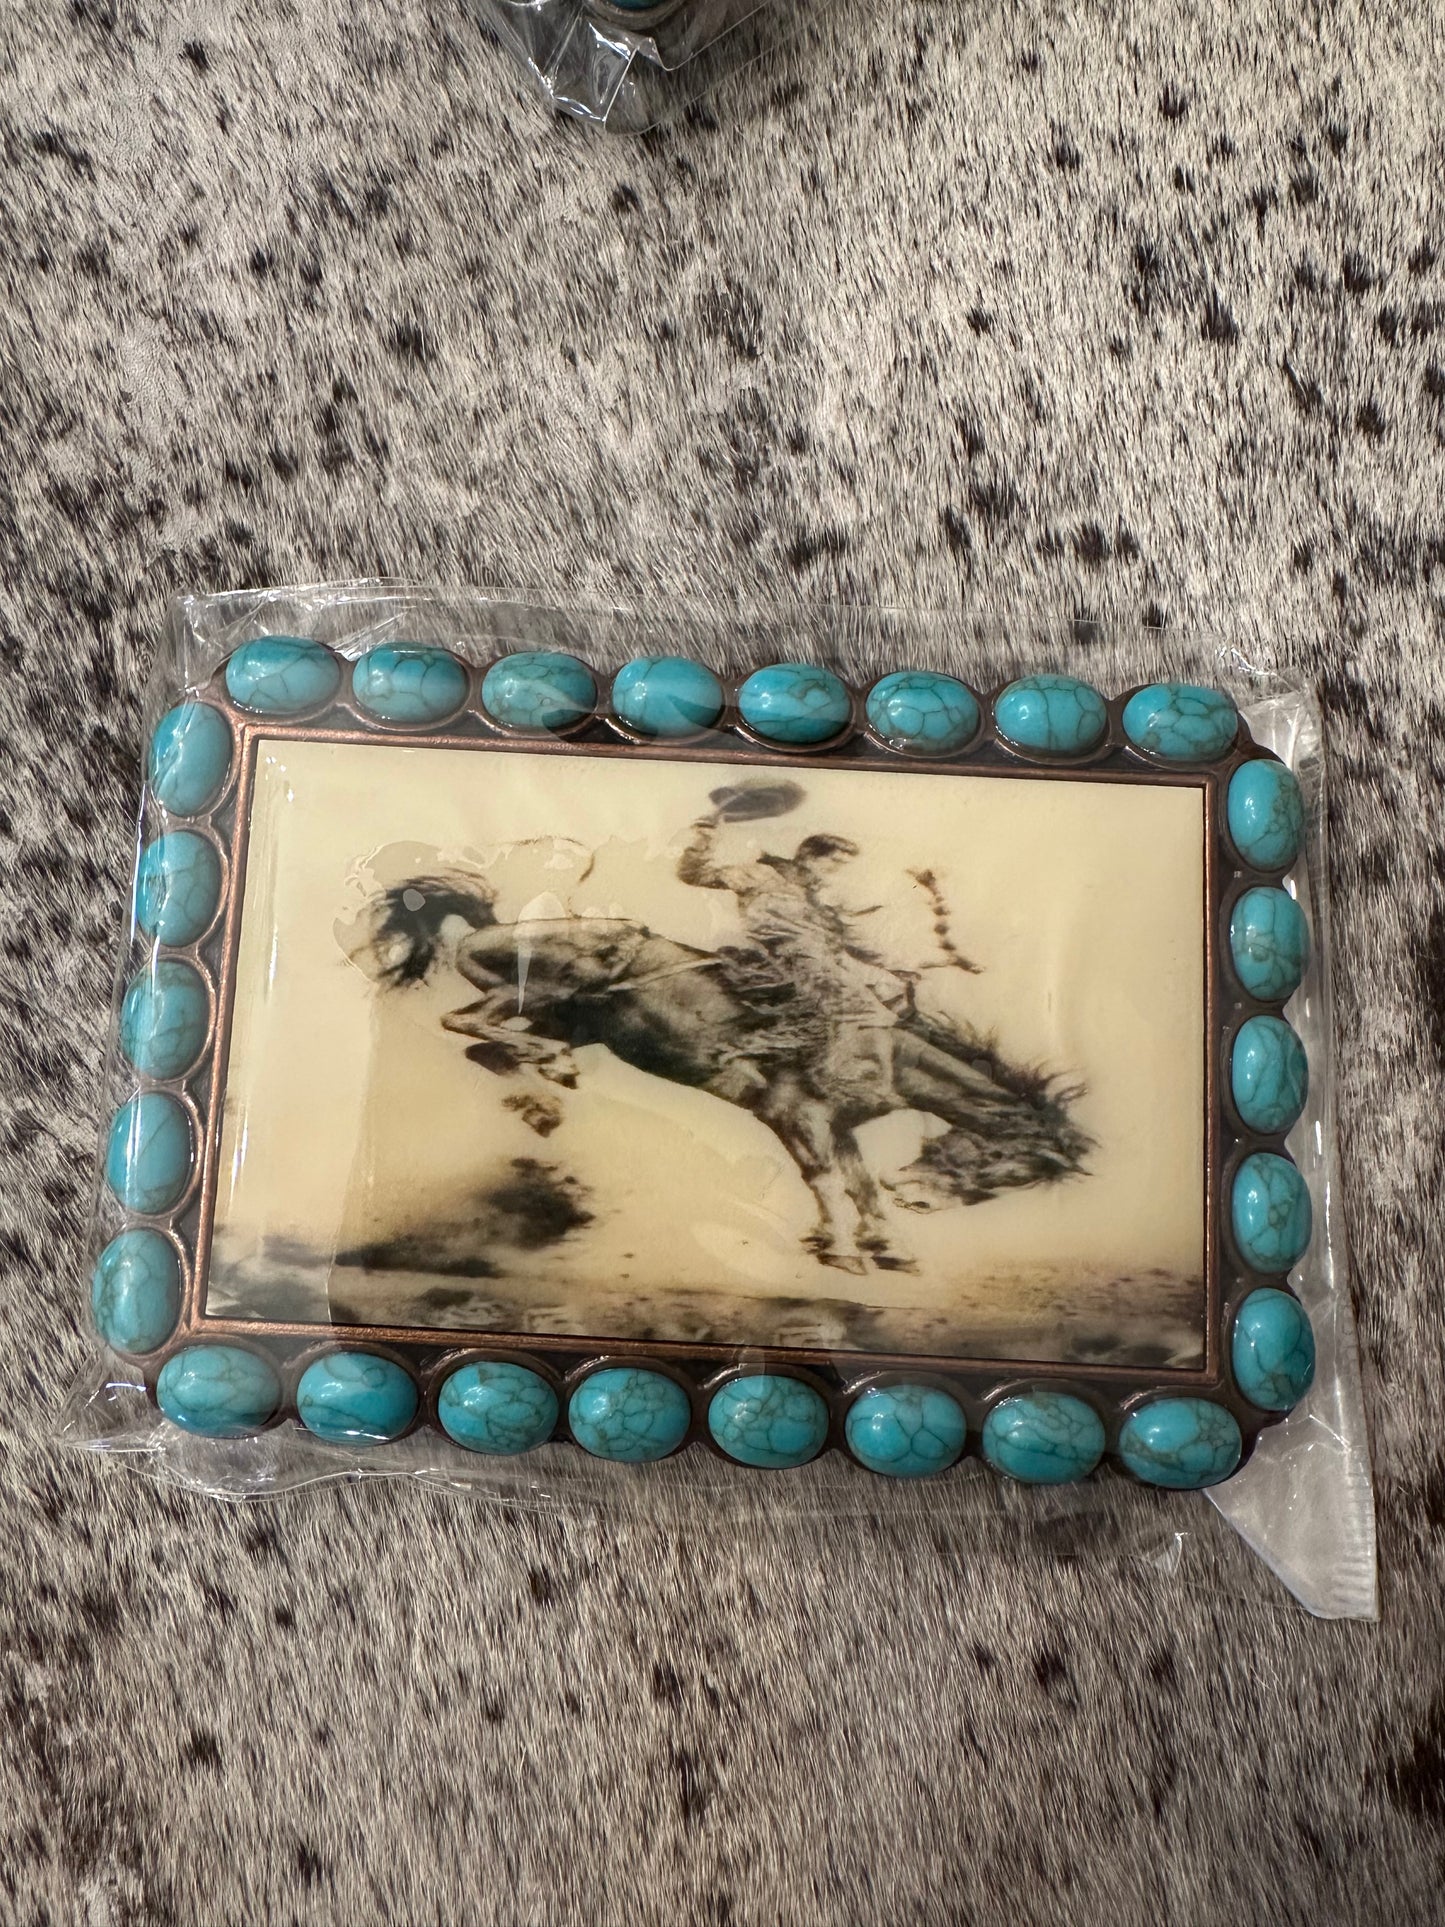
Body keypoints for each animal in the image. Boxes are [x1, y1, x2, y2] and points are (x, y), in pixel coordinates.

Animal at [356, 875, 1092, 1274]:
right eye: (1003, 1163)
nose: (916, 1196)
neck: (876, 1048)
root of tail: (495, 925)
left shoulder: (839, 1124)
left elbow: (856, 1183)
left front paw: (887, 1245)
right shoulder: (795, 1114)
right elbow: (825, 1179)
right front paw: (840, 1250)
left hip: (568, 1019)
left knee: (484, 1048)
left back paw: (545, 1092)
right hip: (543, 989)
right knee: (465, 1023)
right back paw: (551, 1077)